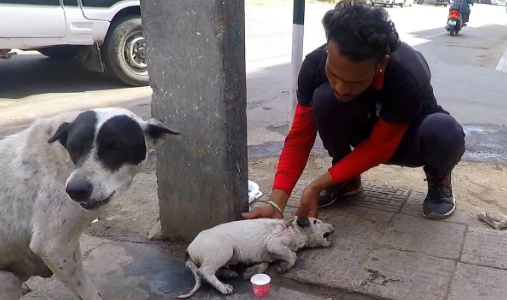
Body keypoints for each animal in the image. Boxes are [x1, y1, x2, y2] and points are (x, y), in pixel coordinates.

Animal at [0, 108, 181, 300]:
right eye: (72, 147)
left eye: (116, 147)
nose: (75, 190)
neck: (60, 156)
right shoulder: (54, 246)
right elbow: (85, 290)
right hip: (8, 281)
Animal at [177, 216, 336, 298]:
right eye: (316, 221)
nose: (334, 226)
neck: (293, 228)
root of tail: (189, 250)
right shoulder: (274, 243)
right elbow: (293, 255)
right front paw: (284, 267)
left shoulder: (268, 252)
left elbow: (265, 264)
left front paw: (251, 272)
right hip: (224, 247)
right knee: (204, 271)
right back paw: (223, 287)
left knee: (212, 269)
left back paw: (228, 274)